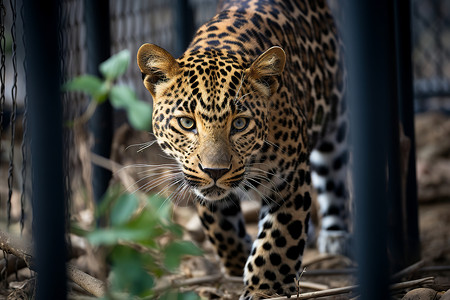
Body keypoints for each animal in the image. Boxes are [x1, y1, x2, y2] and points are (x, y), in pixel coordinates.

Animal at [137, 0, 348, 298]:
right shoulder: (198, 179)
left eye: (239, 123)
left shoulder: (291, 179)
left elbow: (279, 238)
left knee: (334, 176)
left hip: (334, 122)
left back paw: (335, 236)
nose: (215, 171)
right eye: (187, 123)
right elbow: (219, 223)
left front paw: (265, 289)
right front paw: (237, 260)